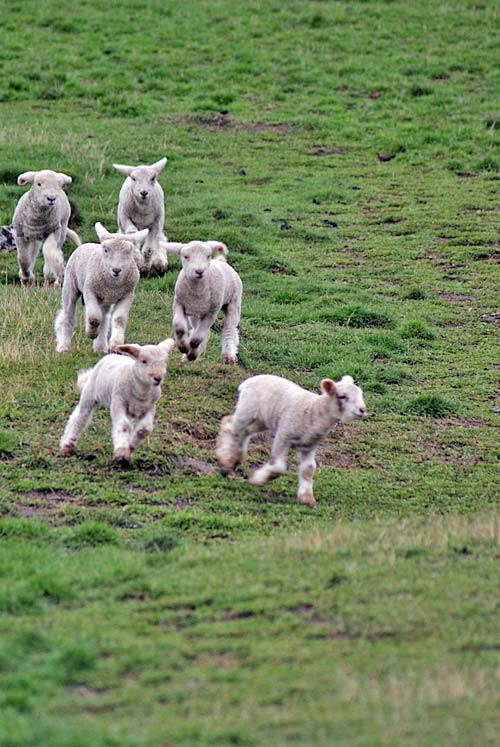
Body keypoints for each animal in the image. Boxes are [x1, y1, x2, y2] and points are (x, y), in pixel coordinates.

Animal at [55, 222, 147, 354]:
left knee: (104, 318)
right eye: (106, 250)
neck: (113, 285)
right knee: (68, 315)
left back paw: (100, 347)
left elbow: (119, 319)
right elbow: (94, 318)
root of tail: (85, 244)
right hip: (70, 285)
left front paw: (116, 344)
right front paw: (91, 333)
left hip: (105, 300)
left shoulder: (127, 295)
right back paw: (64, 347)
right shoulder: (89, 291)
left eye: (128, 252)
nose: (116, 270)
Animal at [216, 374, 366, 506]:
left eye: (361, 394)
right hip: (246, 410)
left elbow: (308, 469)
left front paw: (307, 498)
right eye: (342, 396)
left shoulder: (310, 446)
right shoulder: (283, 436)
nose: (362, 409)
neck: (314, 412)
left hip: (261, 419)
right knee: (230, 426)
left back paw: (234, 460)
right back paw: (225, 461)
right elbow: (278, 467)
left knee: (244, 432)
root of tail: (249, 381)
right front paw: (257, 480)